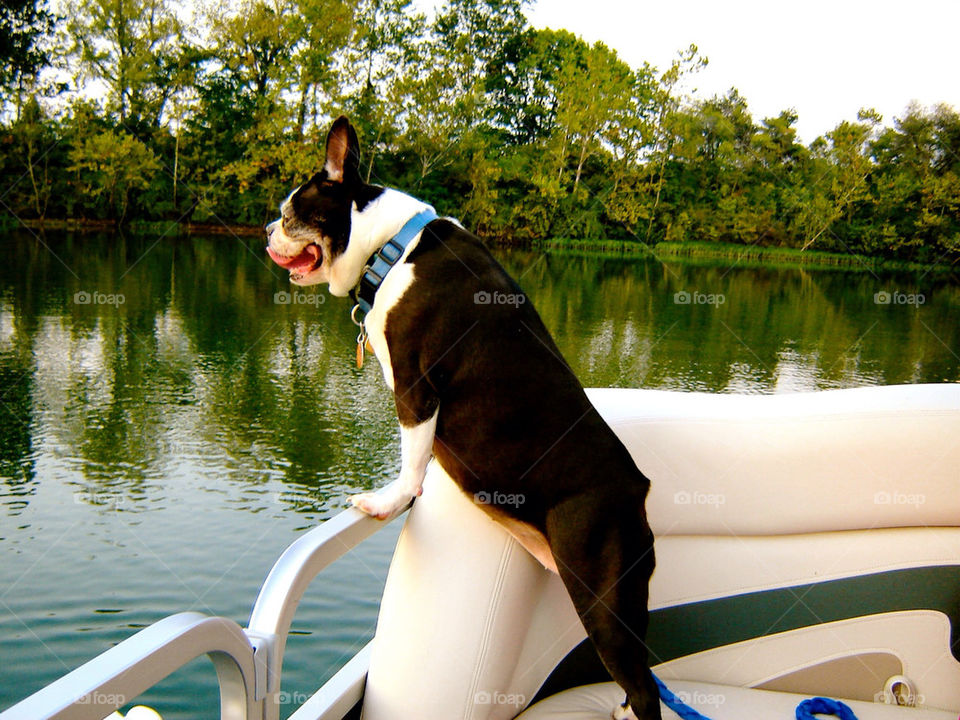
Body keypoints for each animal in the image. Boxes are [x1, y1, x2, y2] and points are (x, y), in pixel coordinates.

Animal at [266, 115, 664, 716]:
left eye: (291, 213)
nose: (268, 230)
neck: (394, 248)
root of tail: (636, 489)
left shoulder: (415, 387)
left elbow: (412, 459)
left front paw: (389, 500)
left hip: (604, 598)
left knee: (644, 685)